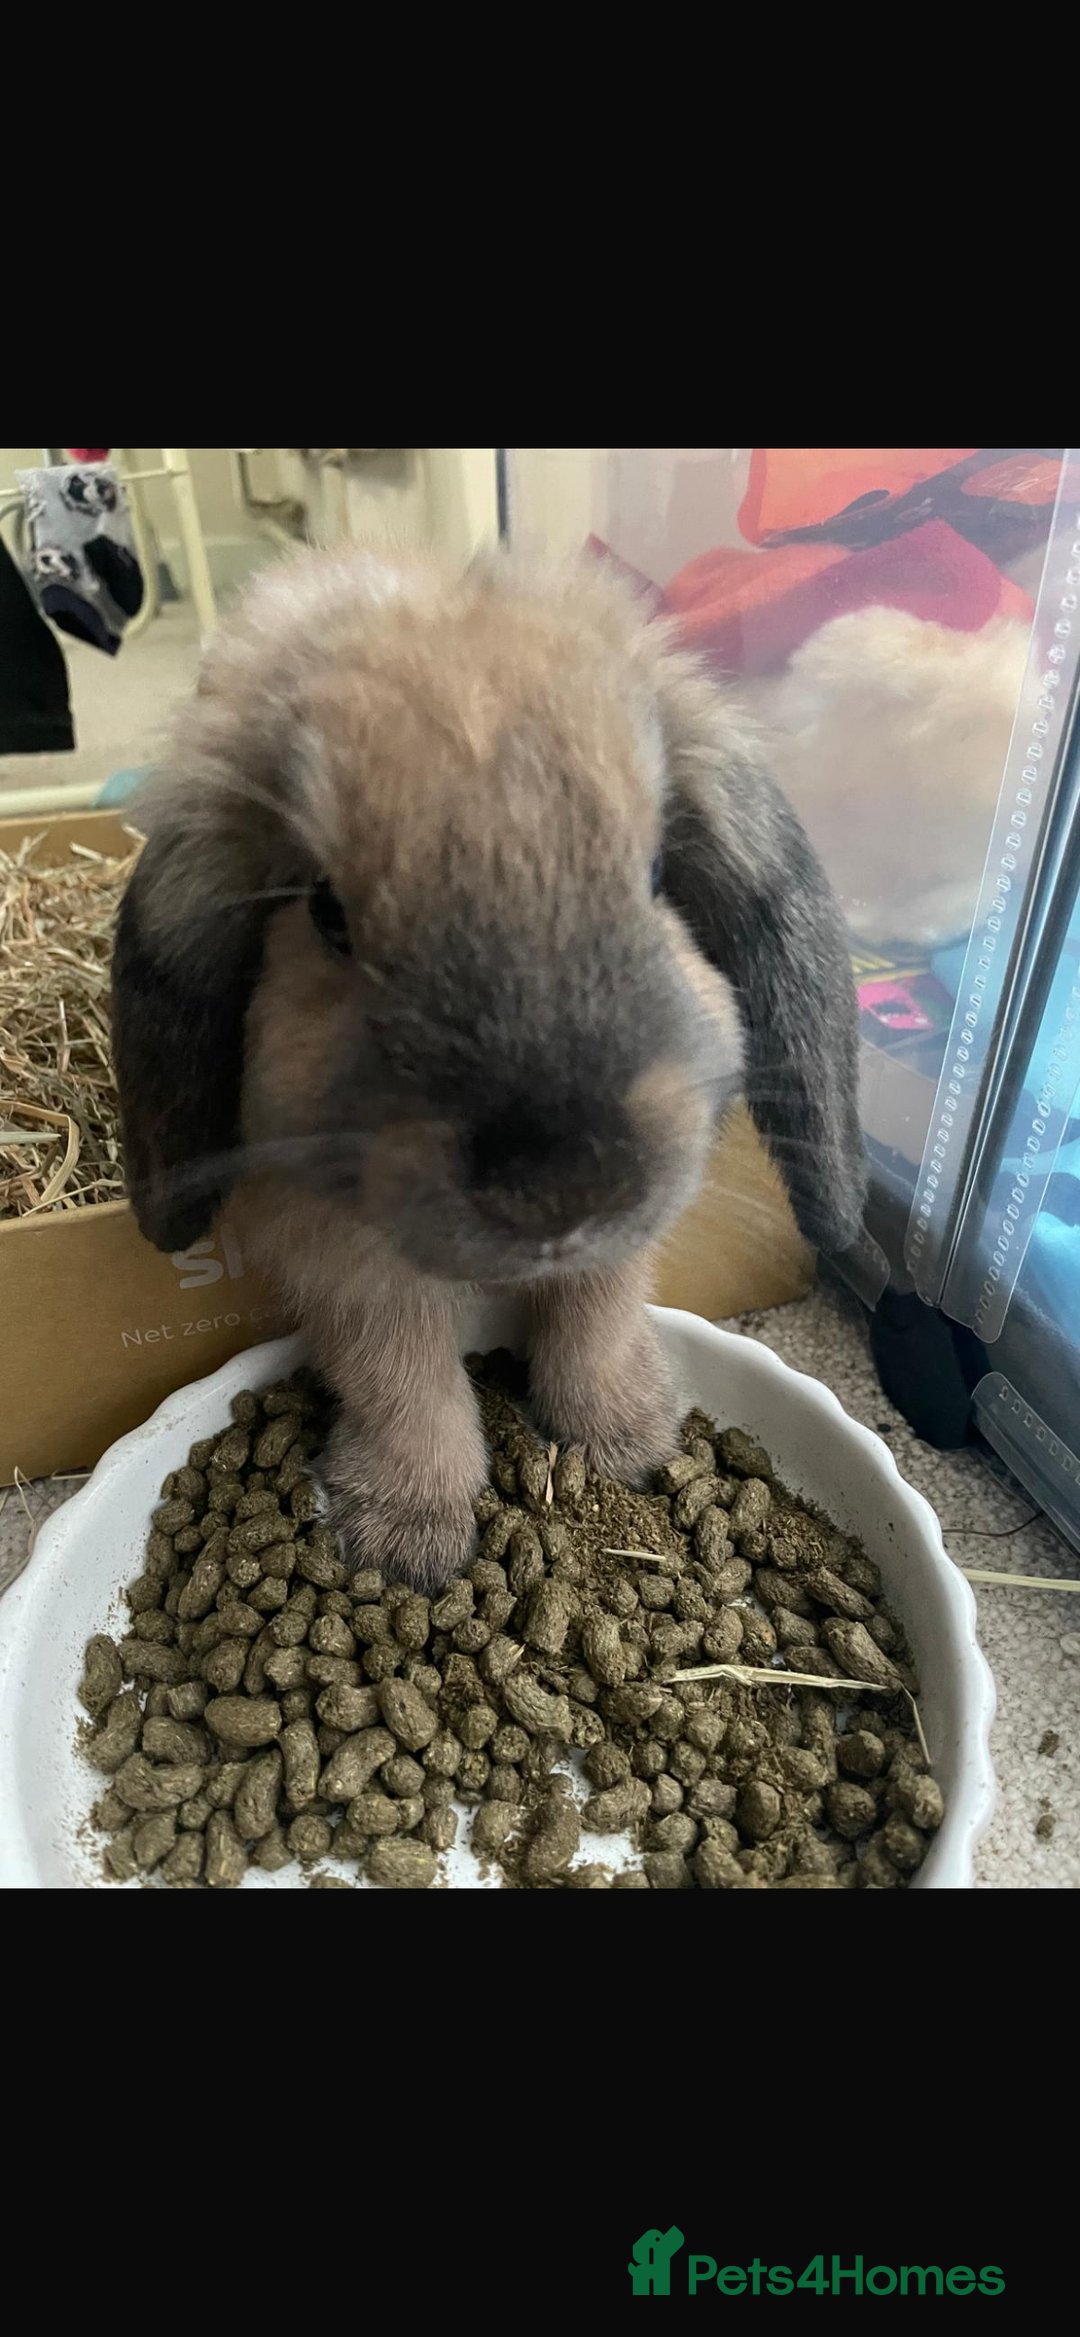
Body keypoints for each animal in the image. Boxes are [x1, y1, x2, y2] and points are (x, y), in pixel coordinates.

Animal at [111, 544, 866, 1591]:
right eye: (325, 911)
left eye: (656, 877)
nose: (560, 1190)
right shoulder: (345, 1259)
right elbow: (401, 1374)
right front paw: (408, 1538)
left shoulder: (618, 1248)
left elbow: (596, 1317)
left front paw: (626, 1443)